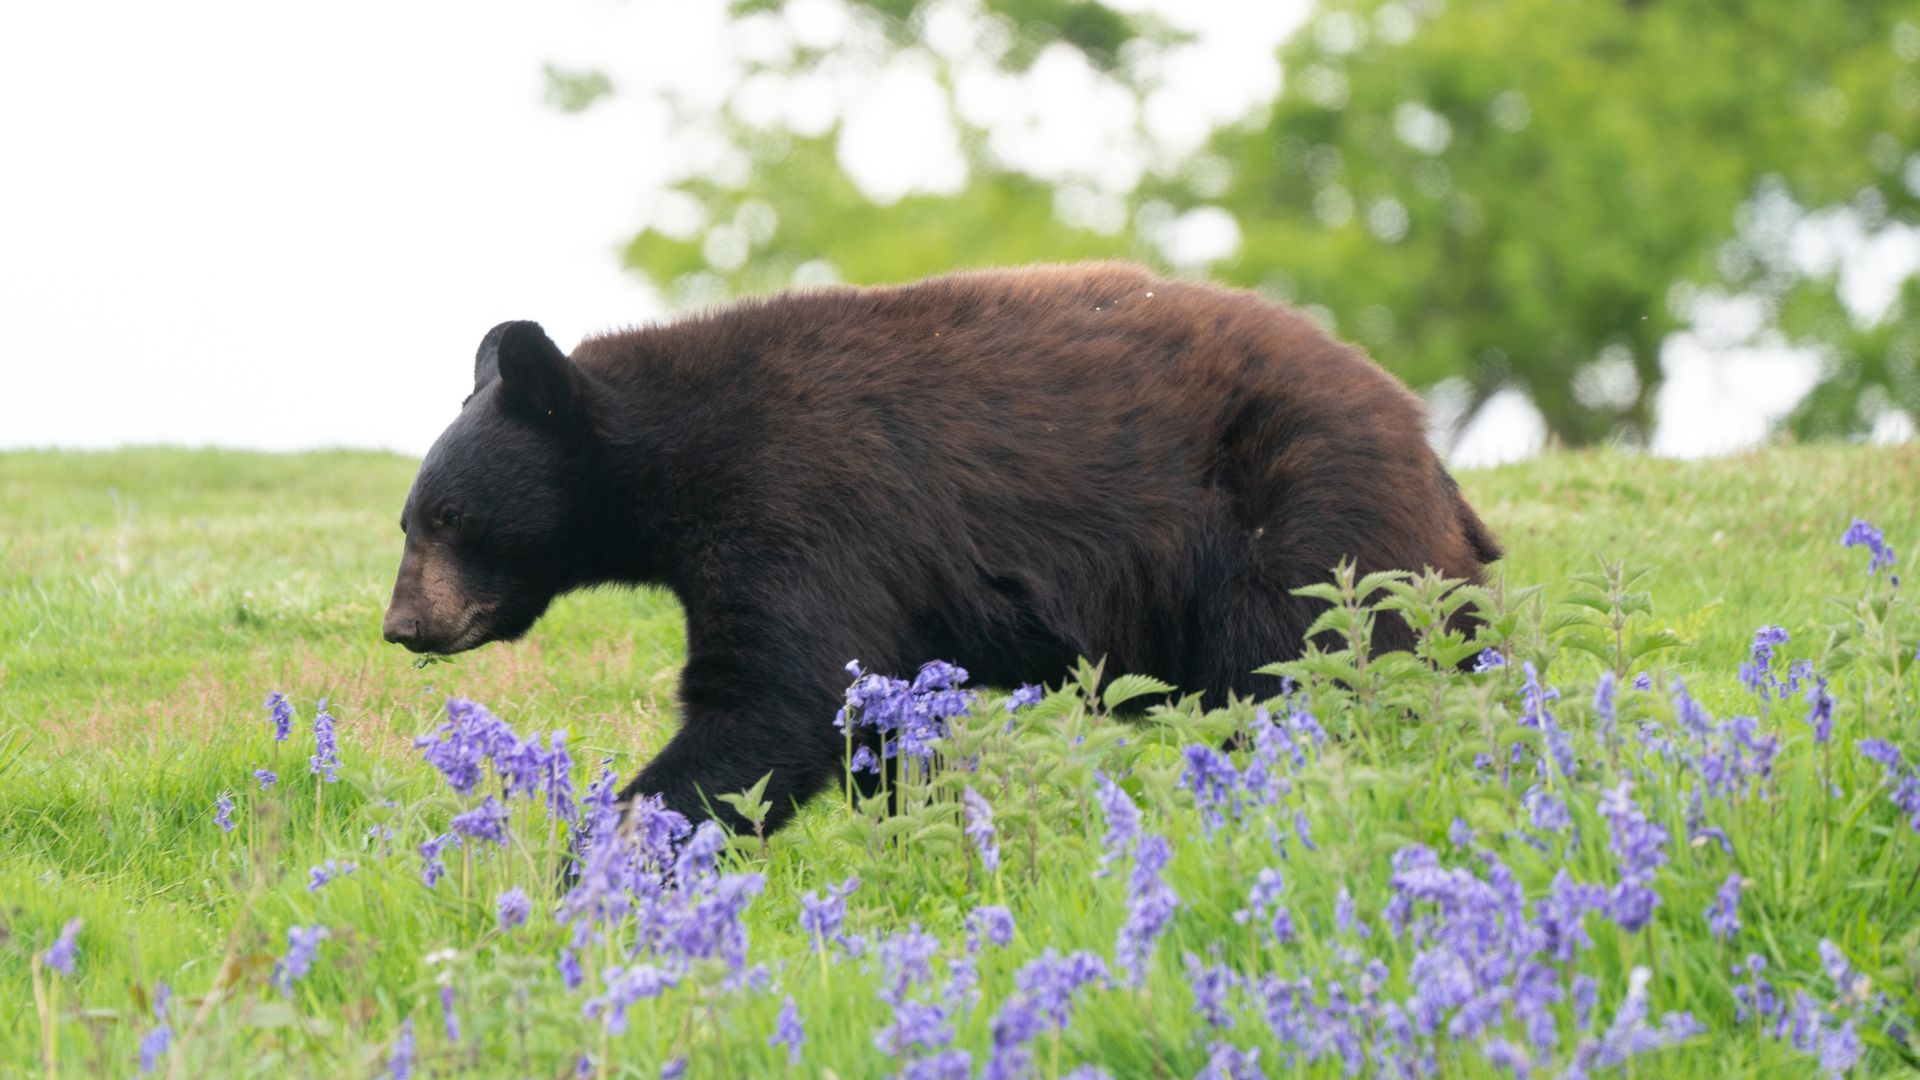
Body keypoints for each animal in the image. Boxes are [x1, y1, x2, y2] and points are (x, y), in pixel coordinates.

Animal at [381, 262, 1501, 835]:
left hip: (1303, 522)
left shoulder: (802, 508)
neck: (677, 451)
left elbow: (770, 704)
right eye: (412, 517)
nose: (403, 625)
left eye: (447, 518)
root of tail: (1423, 439)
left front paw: (610, 862)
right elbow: (870, 716)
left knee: (1316, 671)